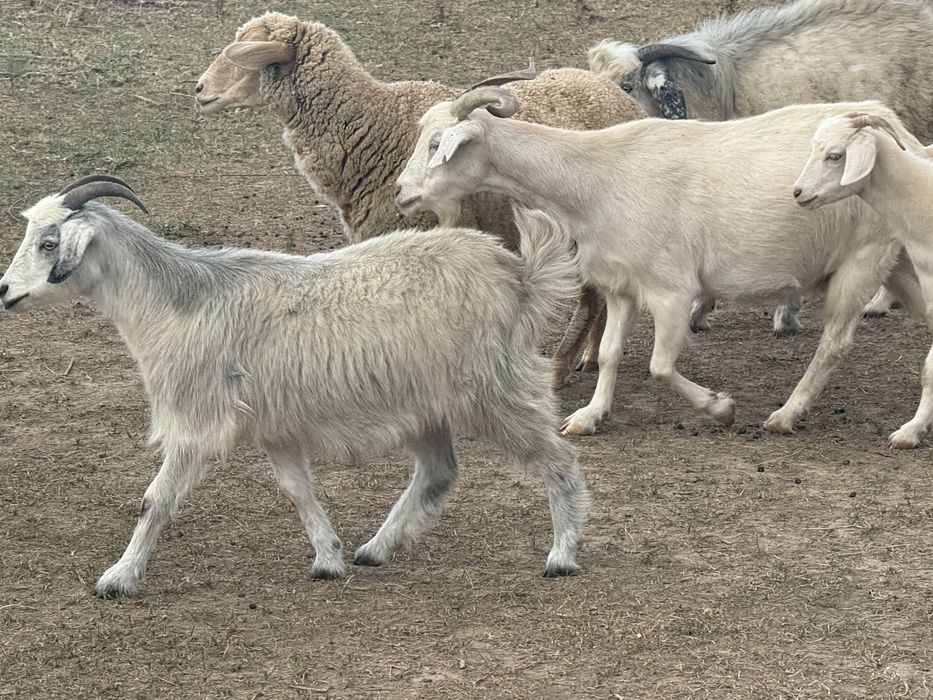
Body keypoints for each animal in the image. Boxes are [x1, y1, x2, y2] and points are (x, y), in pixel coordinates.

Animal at [0, 175, 590, 597]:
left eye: (50, 243)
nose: (5, 291)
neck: (178, 304)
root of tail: (519, 274)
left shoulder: (195, 421)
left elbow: (155, 499)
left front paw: (118, 578)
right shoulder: (275, 428)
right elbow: (298, 489)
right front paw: (328, 557)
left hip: (497, 389)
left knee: (558, 460)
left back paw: (563, 555)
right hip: (427, 407)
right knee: (438, 472)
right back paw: (374, 548)